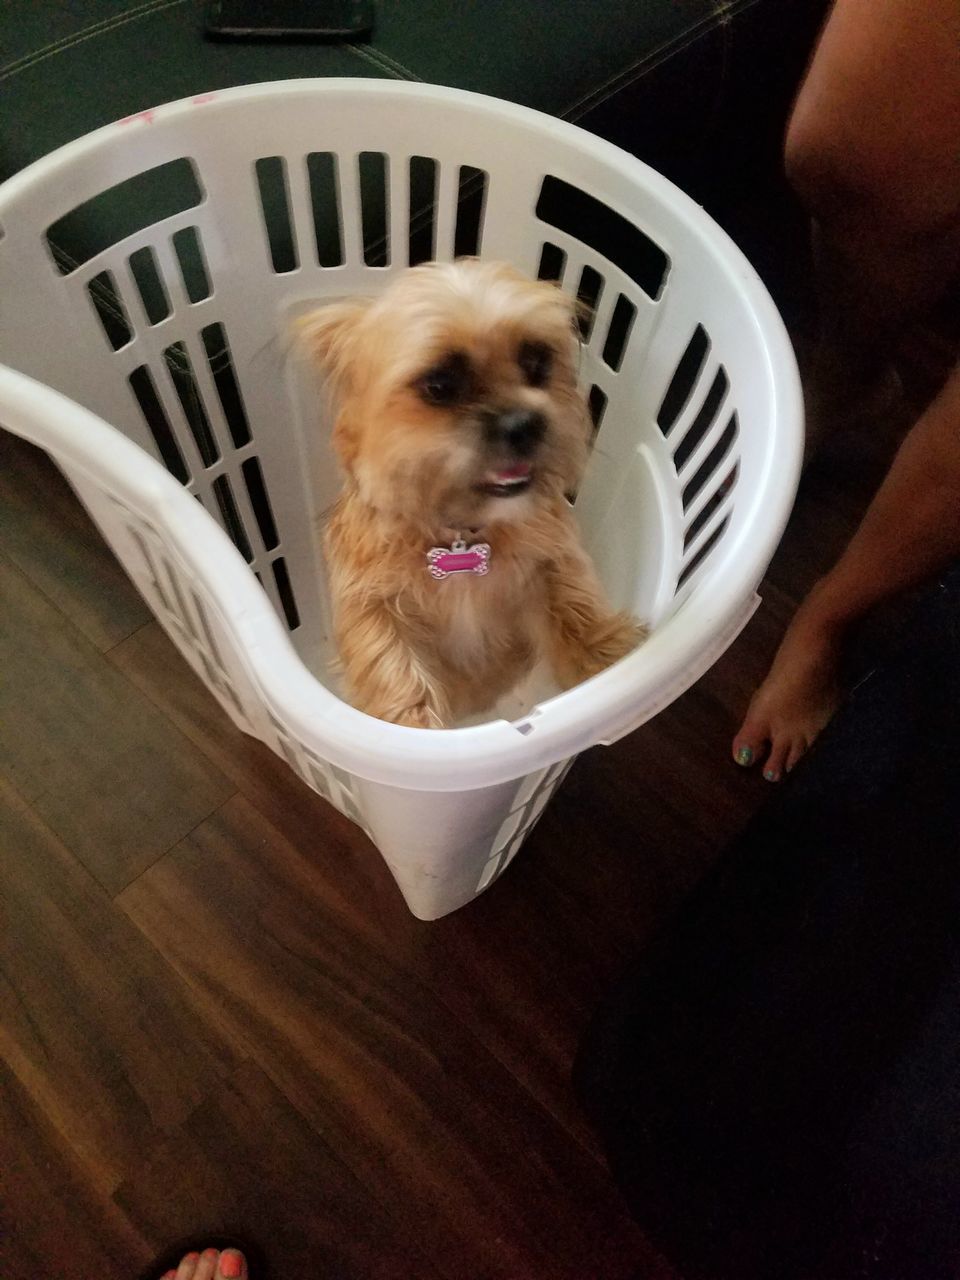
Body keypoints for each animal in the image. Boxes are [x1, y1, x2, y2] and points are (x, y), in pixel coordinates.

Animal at [300, 257, 647, 732]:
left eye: (537, 361)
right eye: (440, 385)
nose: (525, 423)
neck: (463, 531)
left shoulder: (551, 559)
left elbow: (574, 605)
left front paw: (607, 656)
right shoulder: (371, 604)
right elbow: (393, 666)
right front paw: (412, 727)